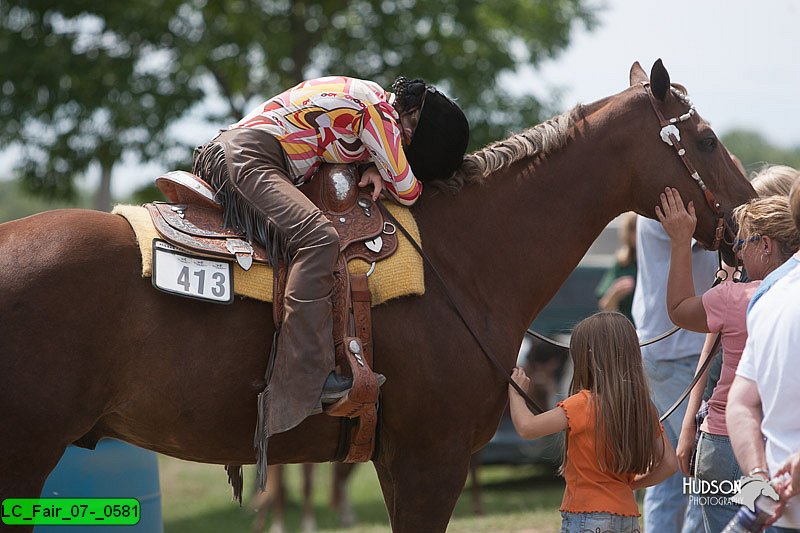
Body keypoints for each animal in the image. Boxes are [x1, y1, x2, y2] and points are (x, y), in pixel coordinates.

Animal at [0, 60, 752, 528]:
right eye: (705, 138)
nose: (745, 220)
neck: (462, 261)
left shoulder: (401, 463)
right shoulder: (430, 461)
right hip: (24, 456)